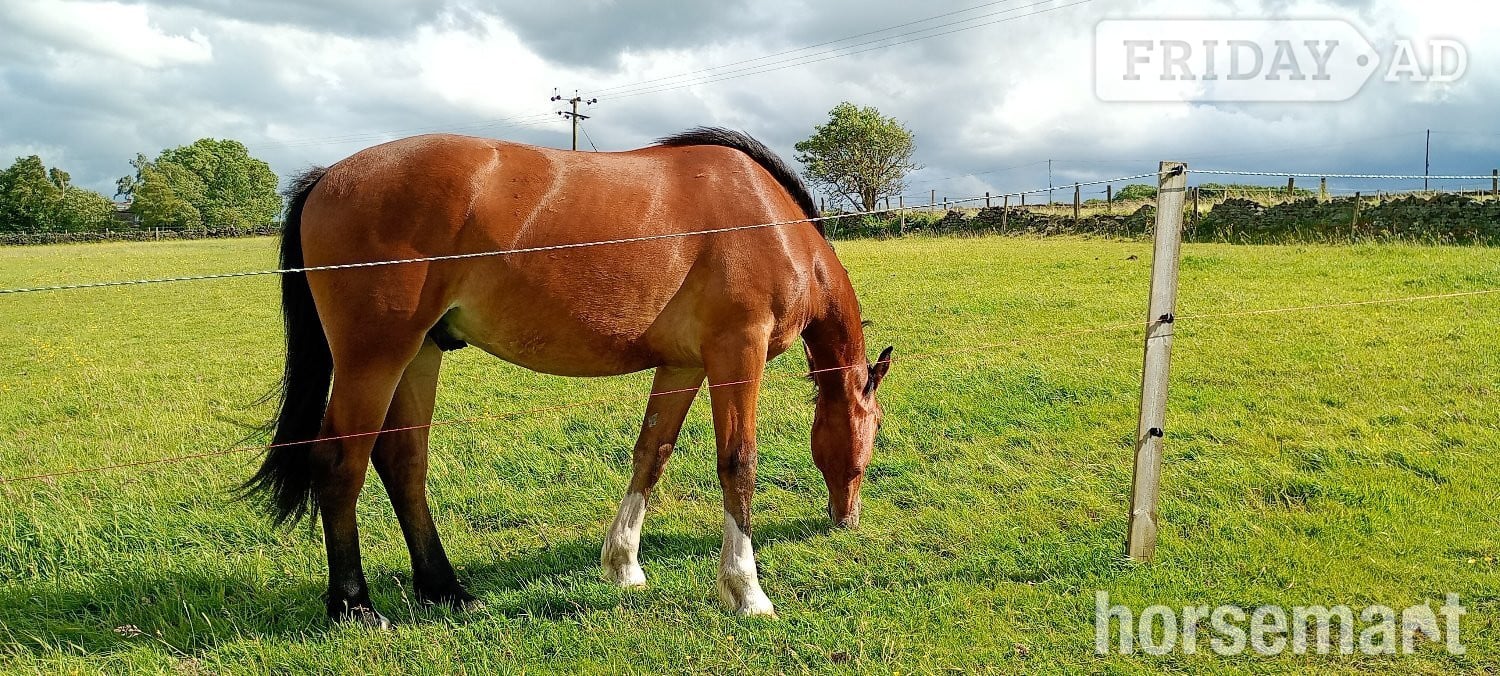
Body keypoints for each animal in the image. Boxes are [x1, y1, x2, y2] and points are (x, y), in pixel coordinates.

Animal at [242, 127, 893, 627]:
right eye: (874, 431)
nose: (847, 518)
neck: (768, 221)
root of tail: (327, 176)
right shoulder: (737, 354)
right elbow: (738, 463)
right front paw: (745, 590)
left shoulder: (683, 363)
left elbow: (651, 453)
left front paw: (624, 564)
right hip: (373, 360)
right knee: (340, 464)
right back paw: (353, 605)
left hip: (419, 355)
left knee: (403, 462)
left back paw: (443, 588)